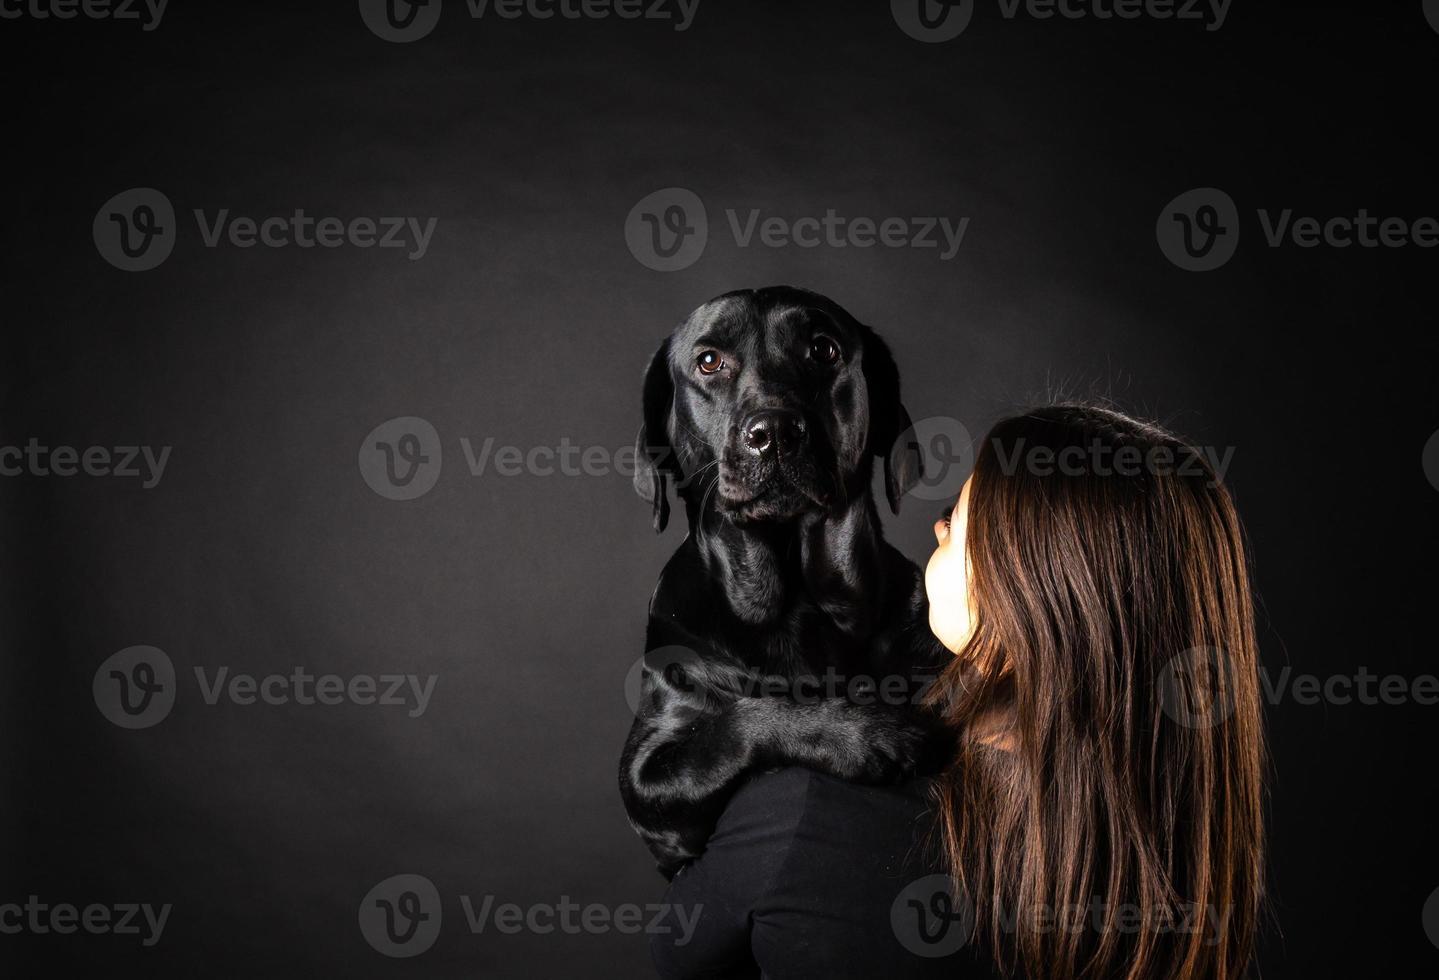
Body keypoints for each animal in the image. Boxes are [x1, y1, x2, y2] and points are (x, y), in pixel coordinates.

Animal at [613, 284, 949, 880]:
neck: (795, 603)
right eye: (709, 361)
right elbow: (738, 723)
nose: (773, 434)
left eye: (823, 349)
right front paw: (866, 735)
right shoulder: (646, 775)